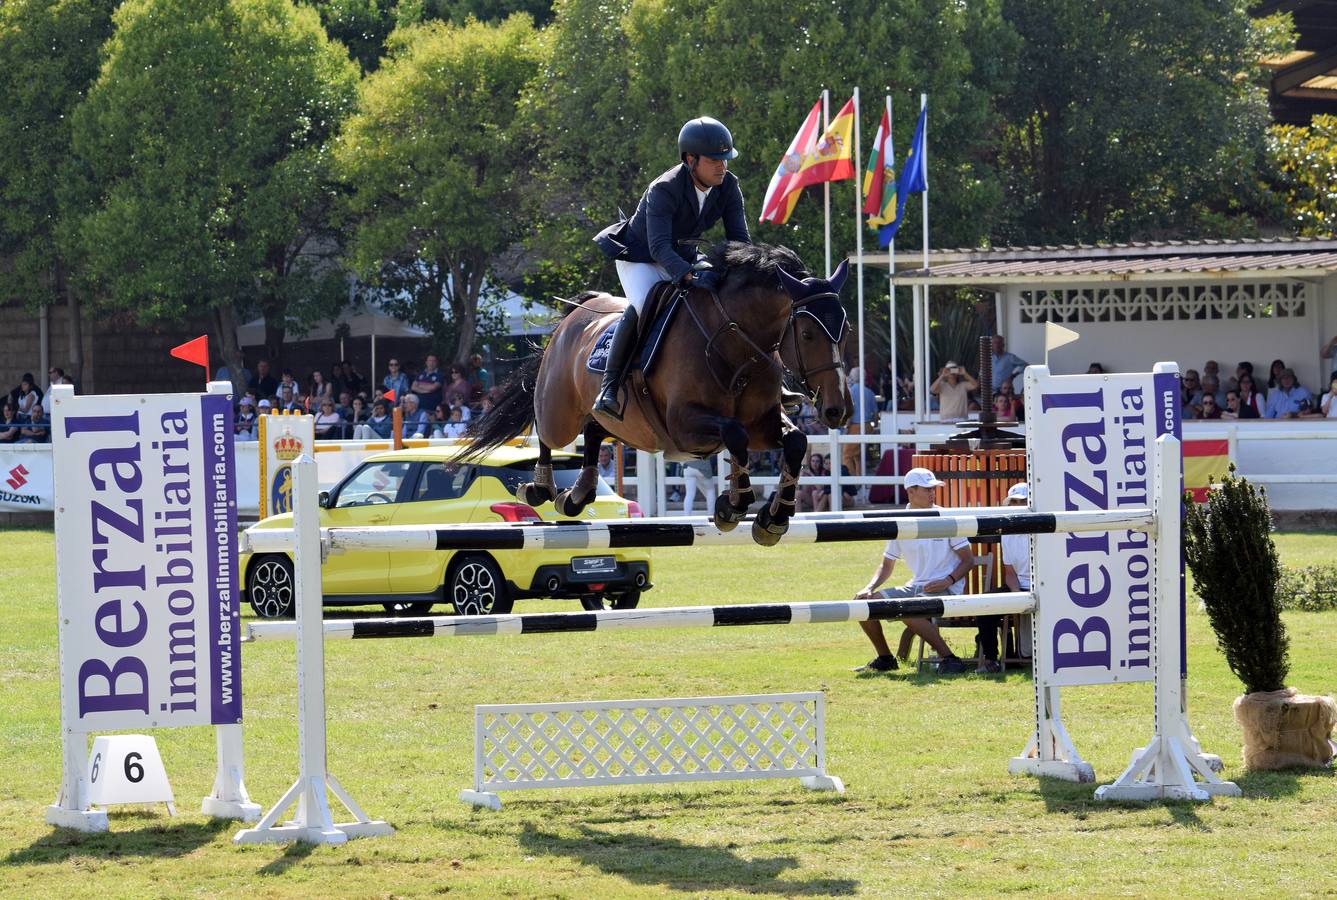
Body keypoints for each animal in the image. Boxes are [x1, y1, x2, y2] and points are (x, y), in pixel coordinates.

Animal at [454, 242, 850, 542]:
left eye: (845, 329)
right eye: (807, 334)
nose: (837, 410)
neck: (735, 345)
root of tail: (574, 315)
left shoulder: (762, 425)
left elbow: (794, 441)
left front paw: (774, 516)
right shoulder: (685, 425)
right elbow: (734, 434)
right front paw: (733, 506)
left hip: (624, 421)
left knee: (594, 430)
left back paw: (578, 494)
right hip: (560, 411)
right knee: (548, 433)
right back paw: (540, 488)